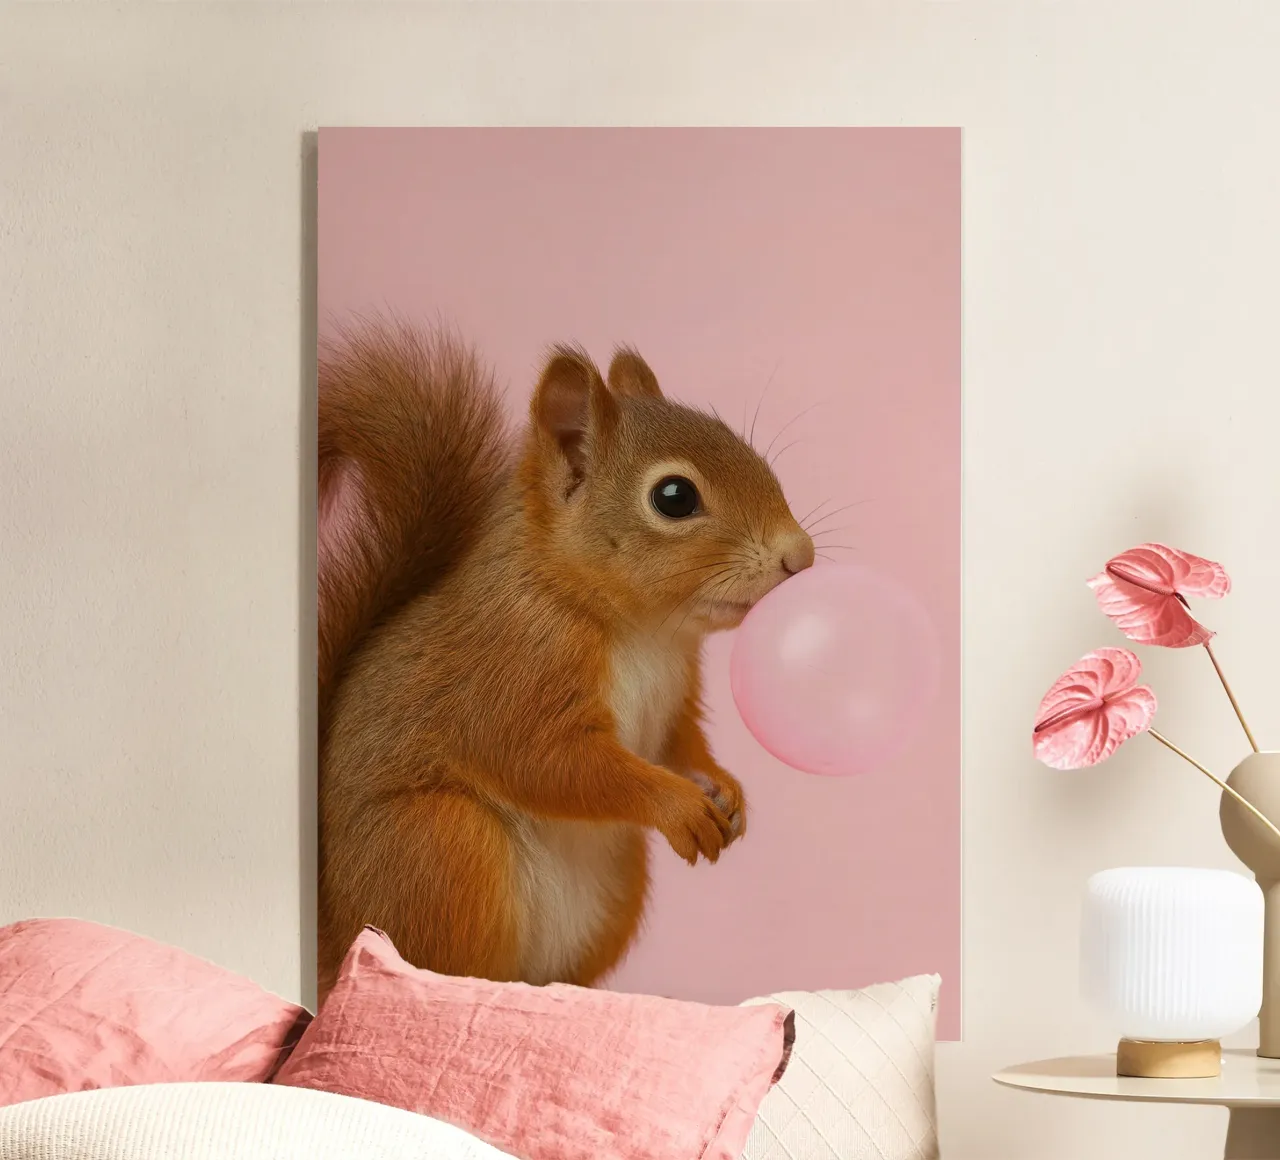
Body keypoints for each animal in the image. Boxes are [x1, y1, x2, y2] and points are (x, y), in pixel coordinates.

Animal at [316, 321, 814, 1000]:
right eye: (674, 497)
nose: (801, 556)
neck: (643, 632)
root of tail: (332, 950)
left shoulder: (676, 698)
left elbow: (675, 747)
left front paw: (722, 786)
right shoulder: (515, 667)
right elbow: (550, 762)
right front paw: (680, 805)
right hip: (440, 846)